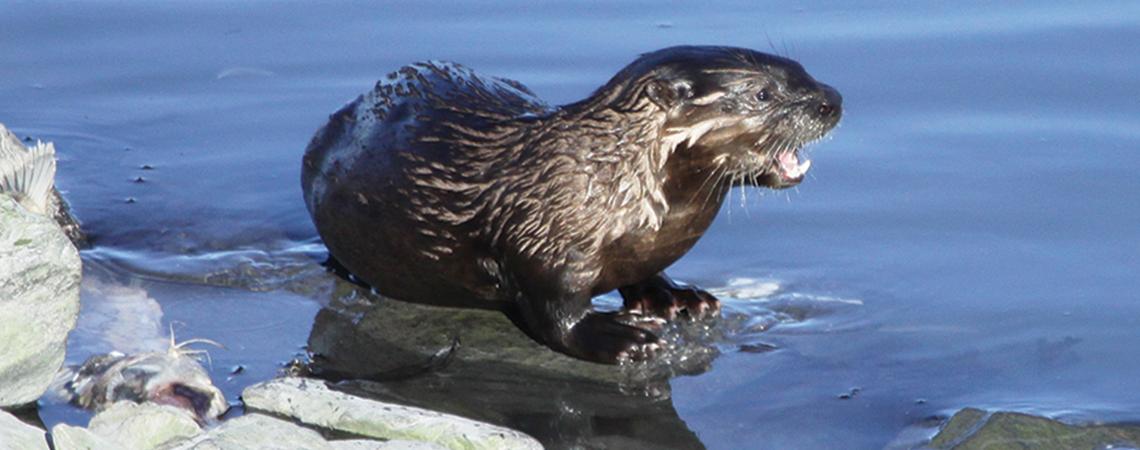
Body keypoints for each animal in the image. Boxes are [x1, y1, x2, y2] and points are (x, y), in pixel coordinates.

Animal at [300, 45, 839, 364]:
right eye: (763, 94)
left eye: (802, 69)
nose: (832, 99)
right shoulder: (541, 243)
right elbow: (555, 315)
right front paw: (623, 339)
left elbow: (643, 272)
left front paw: (677, 296)